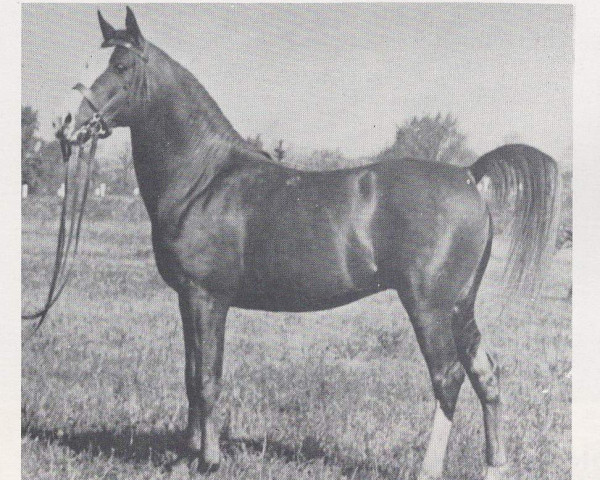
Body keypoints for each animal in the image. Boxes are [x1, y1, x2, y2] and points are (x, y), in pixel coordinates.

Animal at [68, 8, 560, 480]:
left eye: (121, 65)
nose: (68, 127)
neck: (206, 178)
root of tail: (468, 174)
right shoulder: (188, 299)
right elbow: (191, 374)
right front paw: (185, 457)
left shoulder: (206, 297)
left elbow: (206, 378)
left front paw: (208, 461)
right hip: (461, 306)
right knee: (485, 372)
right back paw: (495, 465)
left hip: (430, 308)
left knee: (448, 376)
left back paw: (428, 468)